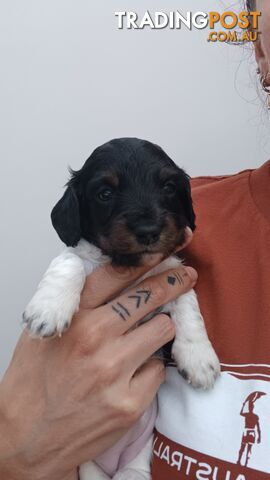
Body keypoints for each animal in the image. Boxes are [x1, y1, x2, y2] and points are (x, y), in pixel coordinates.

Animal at [22, 137, 218, 478]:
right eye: (105, 193)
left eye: (168, 186)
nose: (149, 230)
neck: (127, 265)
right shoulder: (79, 256)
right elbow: (71, 260)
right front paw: (49, 309)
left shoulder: (170, 271)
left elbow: (187, 301)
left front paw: (198, 357)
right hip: (89, 468)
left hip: (136, 462)